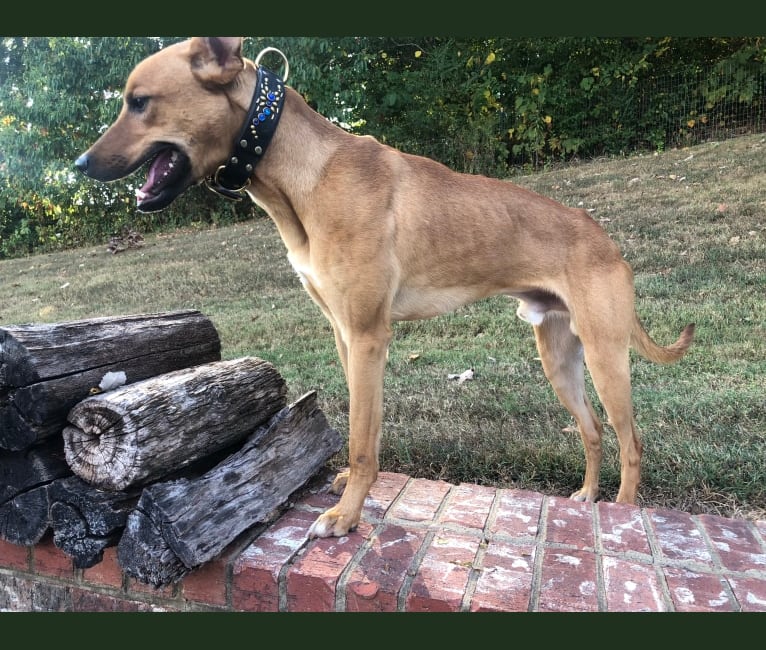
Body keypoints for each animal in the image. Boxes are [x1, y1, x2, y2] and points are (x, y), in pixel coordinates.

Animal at [76, 38, 696, 540]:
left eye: (139, 101)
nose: (80, 165)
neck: (303, 174)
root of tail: (604, 237)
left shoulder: (369, 335)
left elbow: (360, 441)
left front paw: (347, 516)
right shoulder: (345, 335)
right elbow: (362, 430)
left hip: (605, 354)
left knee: (631, 443)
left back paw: (620, 513)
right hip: (559, 357)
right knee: (591, 432)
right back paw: (587, 498)